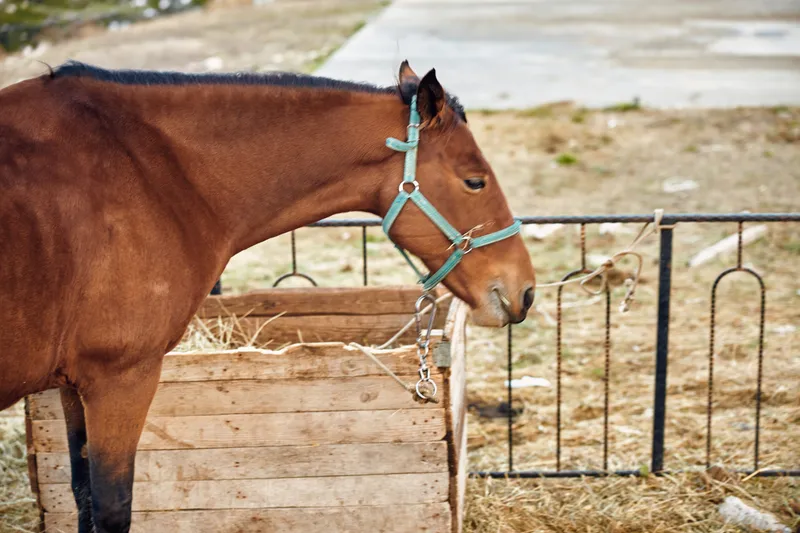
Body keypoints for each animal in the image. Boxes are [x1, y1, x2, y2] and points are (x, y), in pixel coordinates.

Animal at [0, 59, 536, 533]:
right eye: (474, 180)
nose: (525, 291)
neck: (153, 172)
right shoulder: (119, 380)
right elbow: (112, 509)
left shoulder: (73, 385)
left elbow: (84, 499)